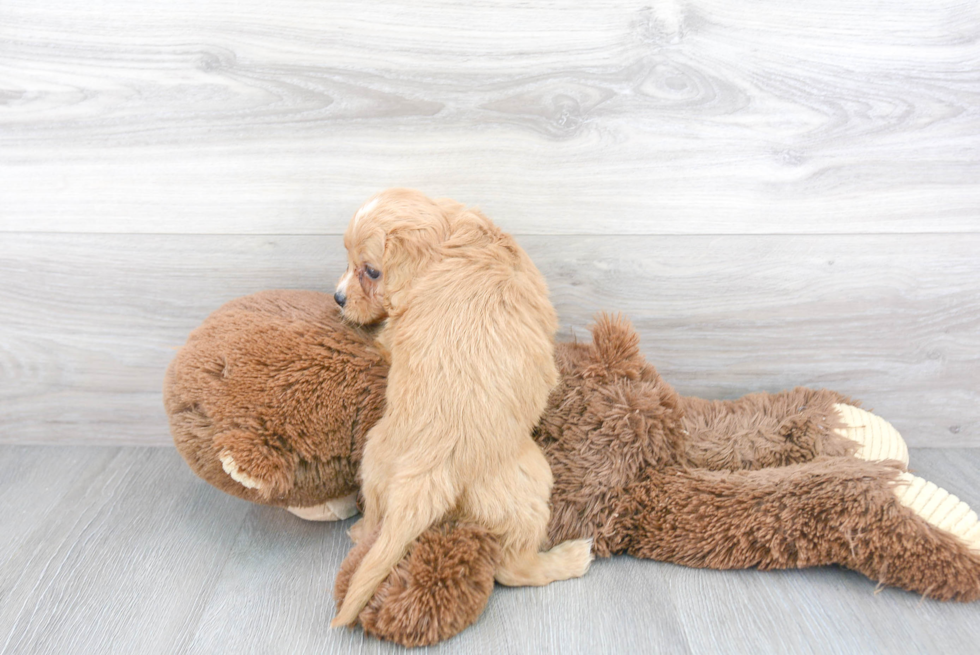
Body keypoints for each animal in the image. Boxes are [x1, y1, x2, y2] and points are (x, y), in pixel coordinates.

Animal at [332, 190, 588, 632]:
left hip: (375, 460)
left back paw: (361, 530)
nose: (338, 297)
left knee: (372, 531)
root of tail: (429, 474)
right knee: (514, 569)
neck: (452, 237)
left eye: (371, 272)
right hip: (533, 485)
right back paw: (571, 557)